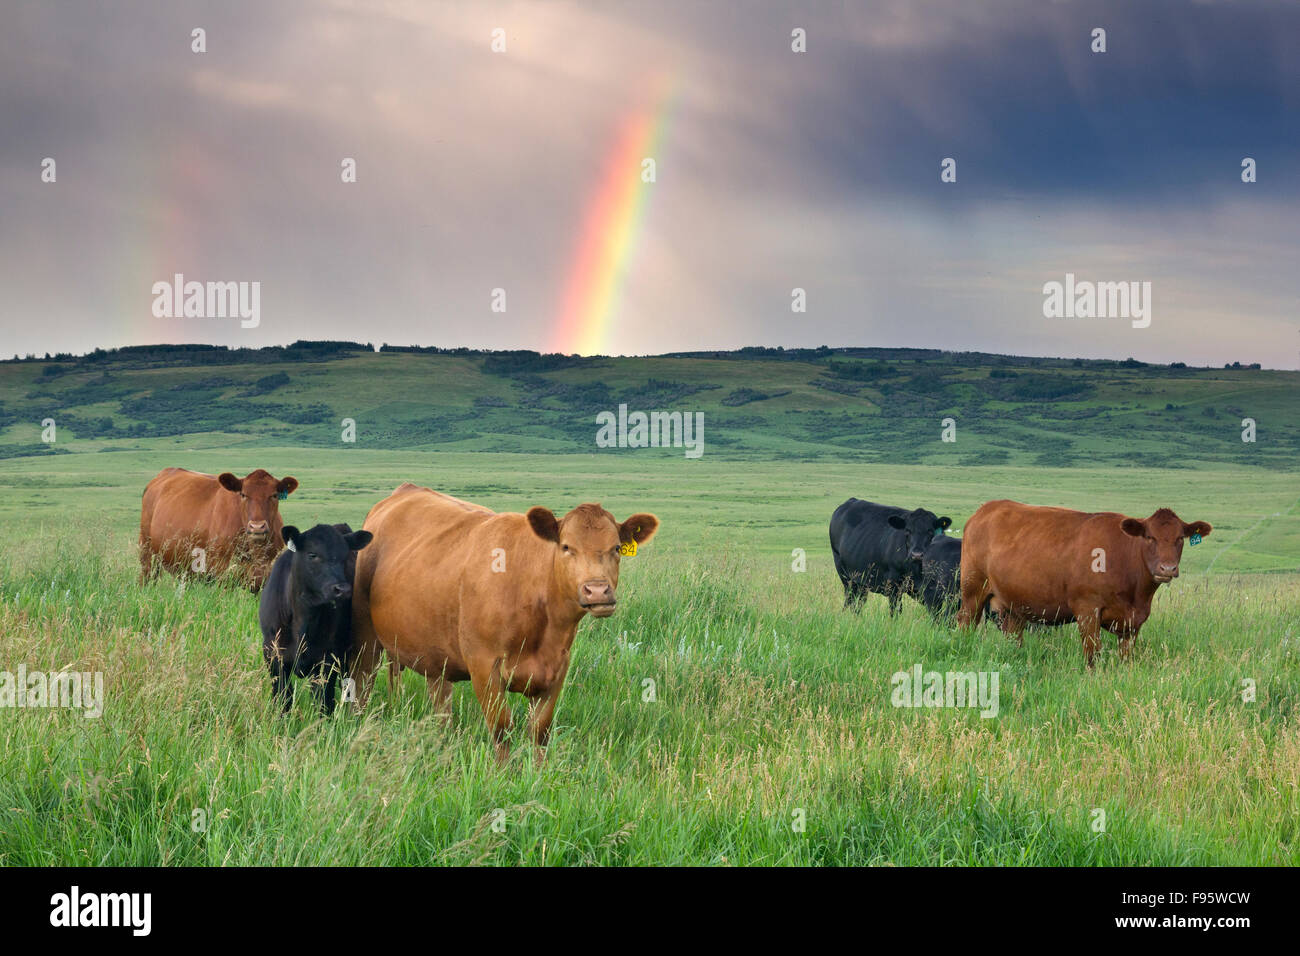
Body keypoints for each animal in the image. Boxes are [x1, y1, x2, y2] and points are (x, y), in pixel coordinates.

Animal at [257, 522, 371, 717]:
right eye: (312, 555)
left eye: (344, 557)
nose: (343, 589)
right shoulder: (272, 653)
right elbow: (283, 697)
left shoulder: (328, 658)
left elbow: (323, 701)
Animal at [351, 486, 660, 764]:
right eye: (566, 547)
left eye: (616, 548)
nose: (597, 591)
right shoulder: (484, 666)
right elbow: (502, 729)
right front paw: (503, 774)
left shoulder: (557, 668)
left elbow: (539, 732)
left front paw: (539, 773)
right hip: (366, 639)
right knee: (363, 684)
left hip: (433, 652)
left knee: (440, 701)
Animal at [956, 504, 1206, 671]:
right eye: (1149, 537)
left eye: (1180, 538)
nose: (1167, 568)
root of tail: (987, 508)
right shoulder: (1087, 610)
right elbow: (1092, 653)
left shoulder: (1133, 623)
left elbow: (1126, 657)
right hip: (973, 590)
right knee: (966, 622)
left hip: (1014, 604)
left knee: (1013, 635)